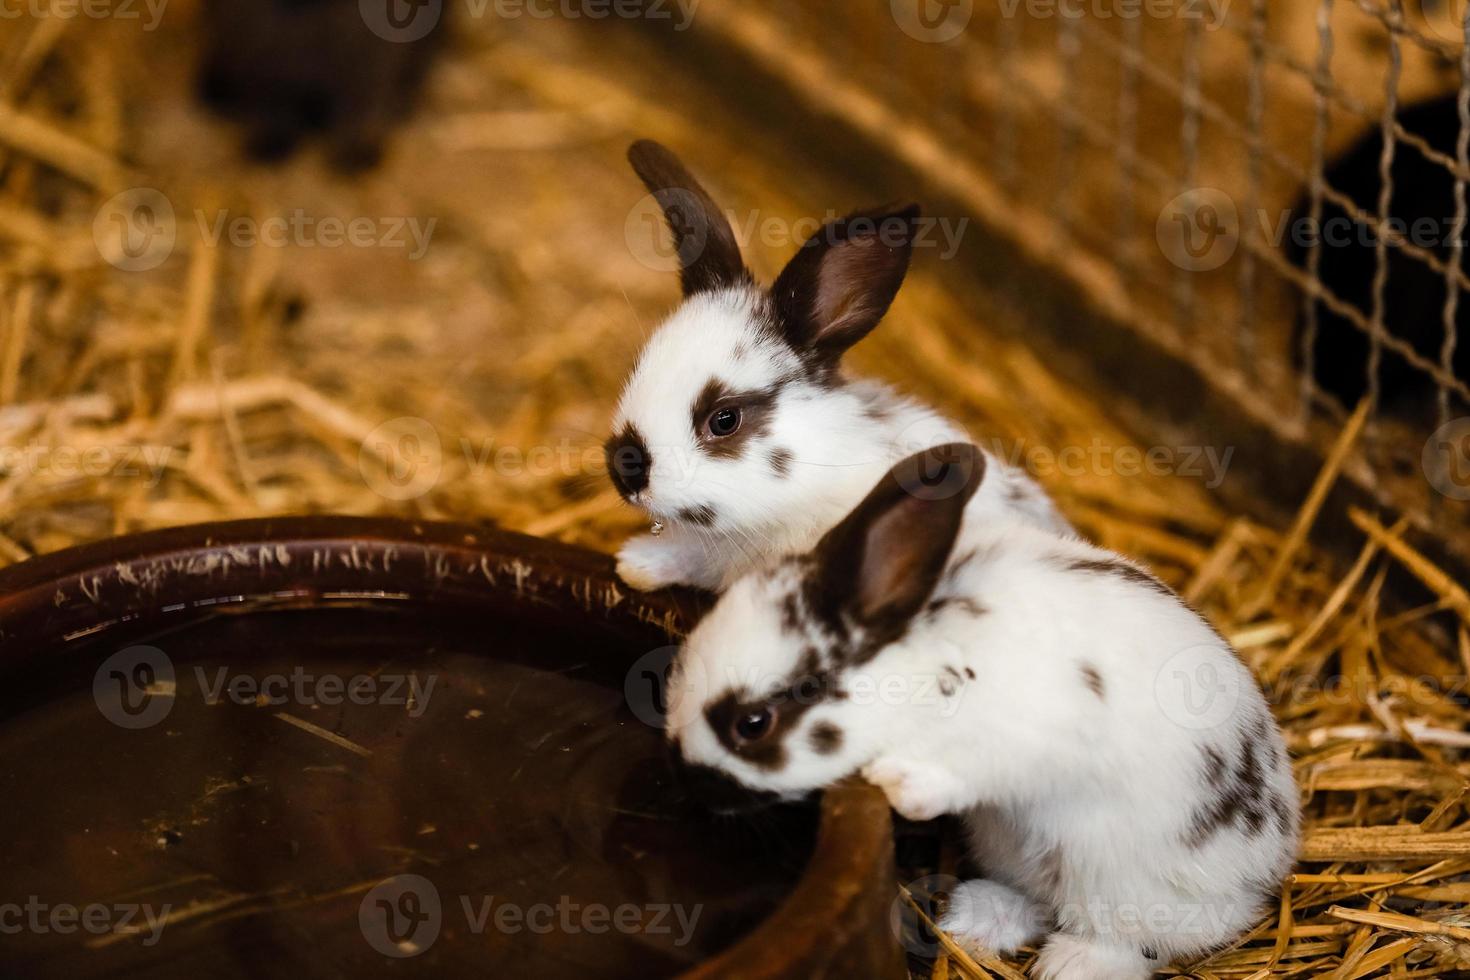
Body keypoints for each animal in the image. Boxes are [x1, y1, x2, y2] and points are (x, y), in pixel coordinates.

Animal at [667, 446, 1299, 980]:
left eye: (753, 724)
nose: (689, 784)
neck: (917, 659)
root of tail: (1269, 866)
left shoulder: (1026, 733)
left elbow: (974, 766)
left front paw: (901, 785)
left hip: (1117, 879)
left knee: (1130, 940)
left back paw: (1070, 966)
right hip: (1015, 849)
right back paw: (975, 915)